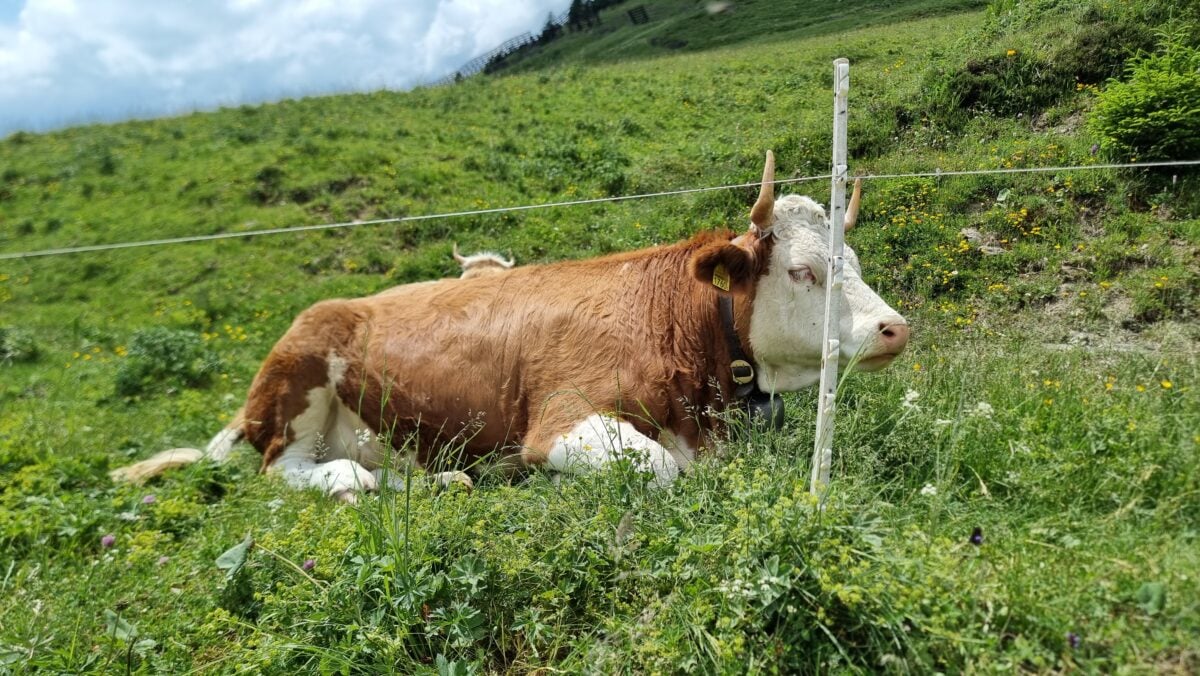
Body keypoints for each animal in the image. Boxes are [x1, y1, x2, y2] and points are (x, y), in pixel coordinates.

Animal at [111, 152, 908, 500]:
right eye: (802, 272)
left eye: (852, 259)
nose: (894, 328)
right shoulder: (563, 418)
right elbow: (661, 468)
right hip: (299, 385)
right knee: (290, 467)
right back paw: (355, 478)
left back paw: (439, 481)